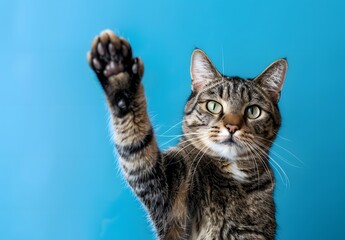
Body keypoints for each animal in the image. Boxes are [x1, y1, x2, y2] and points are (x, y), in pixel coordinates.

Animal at [87, 29, 286, 239]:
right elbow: (139, 149)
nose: (232, 127)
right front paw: (117, 71)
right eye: (213, 106)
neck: (232, 170)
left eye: (253, 111)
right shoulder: (168, 191)